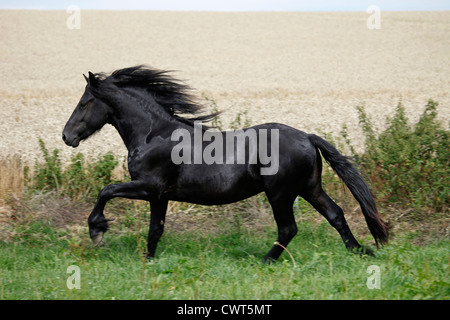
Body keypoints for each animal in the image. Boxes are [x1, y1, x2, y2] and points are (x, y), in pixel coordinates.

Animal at [61, 65, 388, 262]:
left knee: (288, 228)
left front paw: (97, 230)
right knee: (335, 214)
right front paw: (149, 260)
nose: (66, 136)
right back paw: (360, 252)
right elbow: (156, 230)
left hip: (280, 193)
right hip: (310, 188)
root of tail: (307, 137)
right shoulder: (159, 196)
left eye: (84, 103)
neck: (153, 134)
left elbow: (106, 190)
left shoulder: (147, 187)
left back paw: (265, 261)